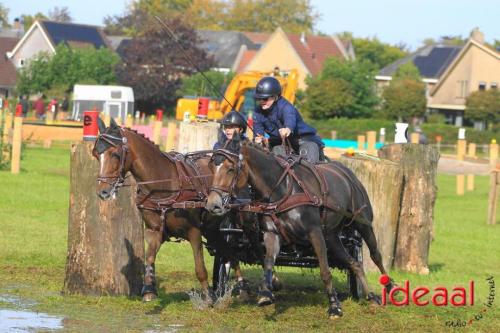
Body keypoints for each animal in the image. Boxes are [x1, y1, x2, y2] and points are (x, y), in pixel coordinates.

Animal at [92, 117, 248, 300]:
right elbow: (150, 258)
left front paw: (208, 296)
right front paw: (149, 289)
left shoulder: (194, 231)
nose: (103, 192)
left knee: (231, 251)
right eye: (96, 154)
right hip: (212, 228)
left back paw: (242, 287)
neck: (165, 184)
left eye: (115, 154)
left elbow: (200, 268)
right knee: (226, 250)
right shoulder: (154, 230)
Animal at [206, 137, 394, 316]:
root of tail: (348, 174)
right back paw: (372, 297)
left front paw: (334, 306)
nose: (212, 204)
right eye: (212, 167)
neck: (284, 191)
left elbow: (325, 271)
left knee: (375, 255)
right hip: (332, 237)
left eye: (231, 169)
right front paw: (266, 293)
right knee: (354, 263)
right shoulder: (272, 234)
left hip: (363, 224)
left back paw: (389, 286)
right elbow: (268, 262)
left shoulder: (315, 233)